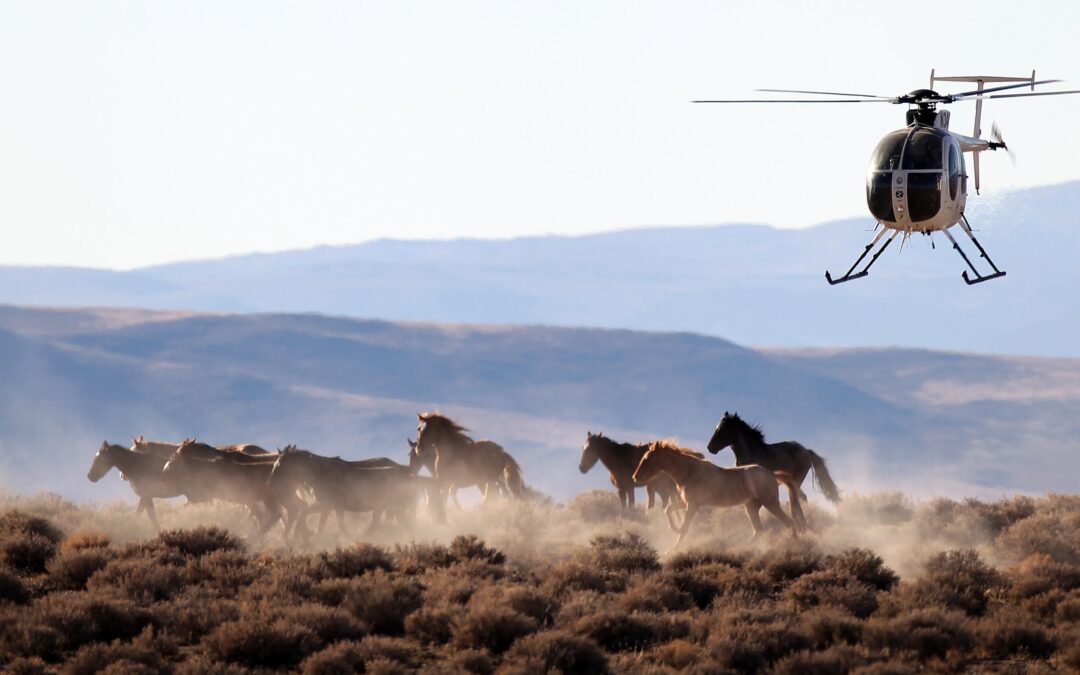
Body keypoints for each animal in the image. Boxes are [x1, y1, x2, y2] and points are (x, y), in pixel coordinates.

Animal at [269, 446, 442, 540]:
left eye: (279, 464)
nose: (270, 483)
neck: (320, 473)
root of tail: (410, 475)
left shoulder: (324, 504)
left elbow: (302, 514)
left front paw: (298, 535)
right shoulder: (333, 507)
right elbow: (330, 526)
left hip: (393, 508)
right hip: (389, 509)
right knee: (398, 524)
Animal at [632, 440, 803, 550]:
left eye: (647, 458)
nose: (635, 477)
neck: (689, 472)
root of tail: (772, 474)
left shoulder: (692, 505)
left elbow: (685, 528)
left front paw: (673, 548)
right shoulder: (687, 503)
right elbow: (668, 510)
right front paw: (674, 529)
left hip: (770, 503)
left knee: (789, 523)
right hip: (751, 506)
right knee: (758, 530)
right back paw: (739, 549)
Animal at [706, 412, 841, 524]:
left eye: (722, 429)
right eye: (716, 427)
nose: (710, 448)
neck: (750, 453)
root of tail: (806, 451)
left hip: (796, 479)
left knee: (798, 498)